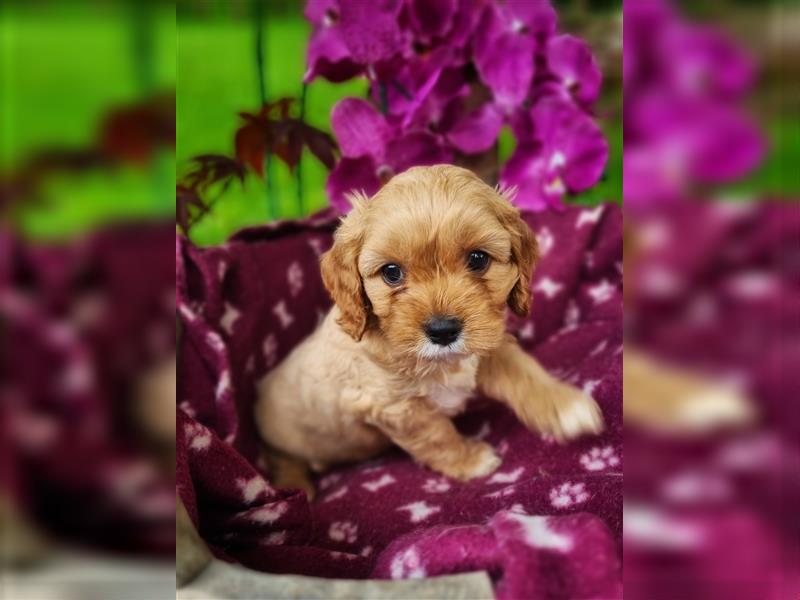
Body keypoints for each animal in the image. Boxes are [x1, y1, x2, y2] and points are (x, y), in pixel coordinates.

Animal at [255, 164, 600, 488]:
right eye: (391, 272)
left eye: (478, 259)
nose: (443, 330)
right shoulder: (397, 408)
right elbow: (437, 436)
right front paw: (470, 460)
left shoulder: (487, 347)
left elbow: (524, 371)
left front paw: (565, 406)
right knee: (286, 462)